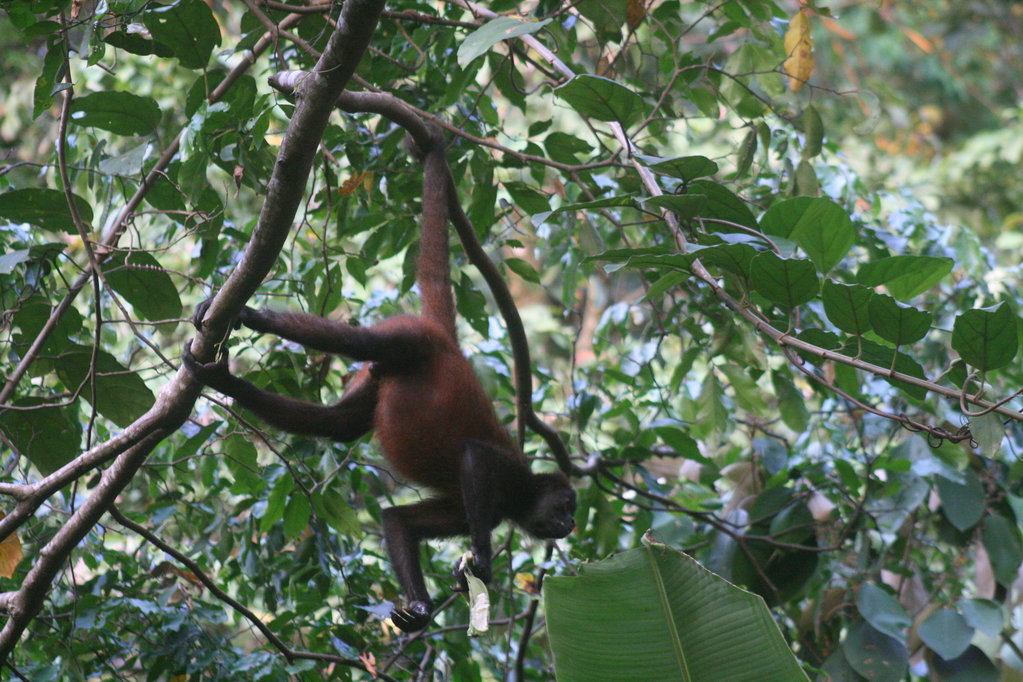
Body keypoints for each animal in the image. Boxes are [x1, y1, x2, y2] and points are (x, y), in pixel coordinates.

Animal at [184, 125, 576, 633]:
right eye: (566, 507)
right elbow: (474, 456)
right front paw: (482, 565)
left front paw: (421, 610)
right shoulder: (505, 477)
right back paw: (254, 316)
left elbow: (397, 521)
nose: (570, 526)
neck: (519, 499)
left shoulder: (472, 510)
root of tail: (445, 341)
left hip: (381, 374)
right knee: (360, 345)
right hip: (409, 339)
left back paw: (230, 384)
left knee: (343, 423)